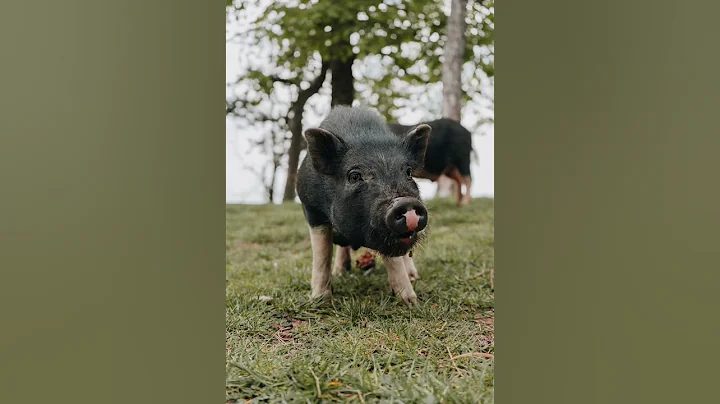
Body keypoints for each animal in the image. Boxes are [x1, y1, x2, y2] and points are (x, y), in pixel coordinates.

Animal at [296, 106, 431, 305]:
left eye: (408, 172)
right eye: (354, 176)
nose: (405, 202)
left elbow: (395, 260)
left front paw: (411, 302)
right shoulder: (311, 209)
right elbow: (322, 254)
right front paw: (320, 300)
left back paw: (414, 277)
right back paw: (341, 272)